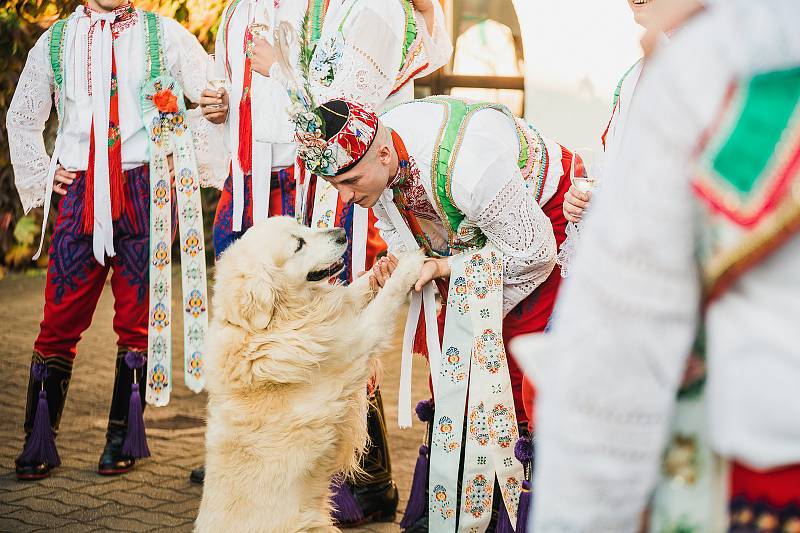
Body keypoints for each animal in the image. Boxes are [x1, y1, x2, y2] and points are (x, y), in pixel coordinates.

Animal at [195, 216, 424, 532]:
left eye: (301, 225)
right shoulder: (355, 344)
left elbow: (356, 287)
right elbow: (384, 301)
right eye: (298, 245)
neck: (273, 325)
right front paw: (410, 264)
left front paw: (392, 259)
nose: (341, 234)